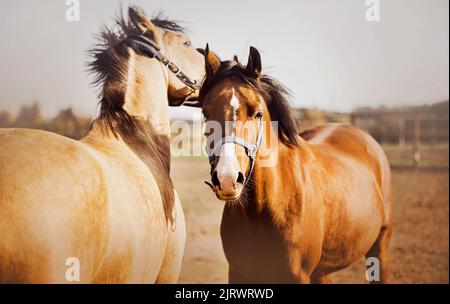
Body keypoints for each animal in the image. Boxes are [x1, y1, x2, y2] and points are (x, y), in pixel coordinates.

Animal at [199, 46, 392, 284]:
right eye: (206, 112)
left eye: (257, 113)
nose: (227, 178)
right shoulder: (237, 273)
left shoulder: (297, 276)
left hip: (379, 249)